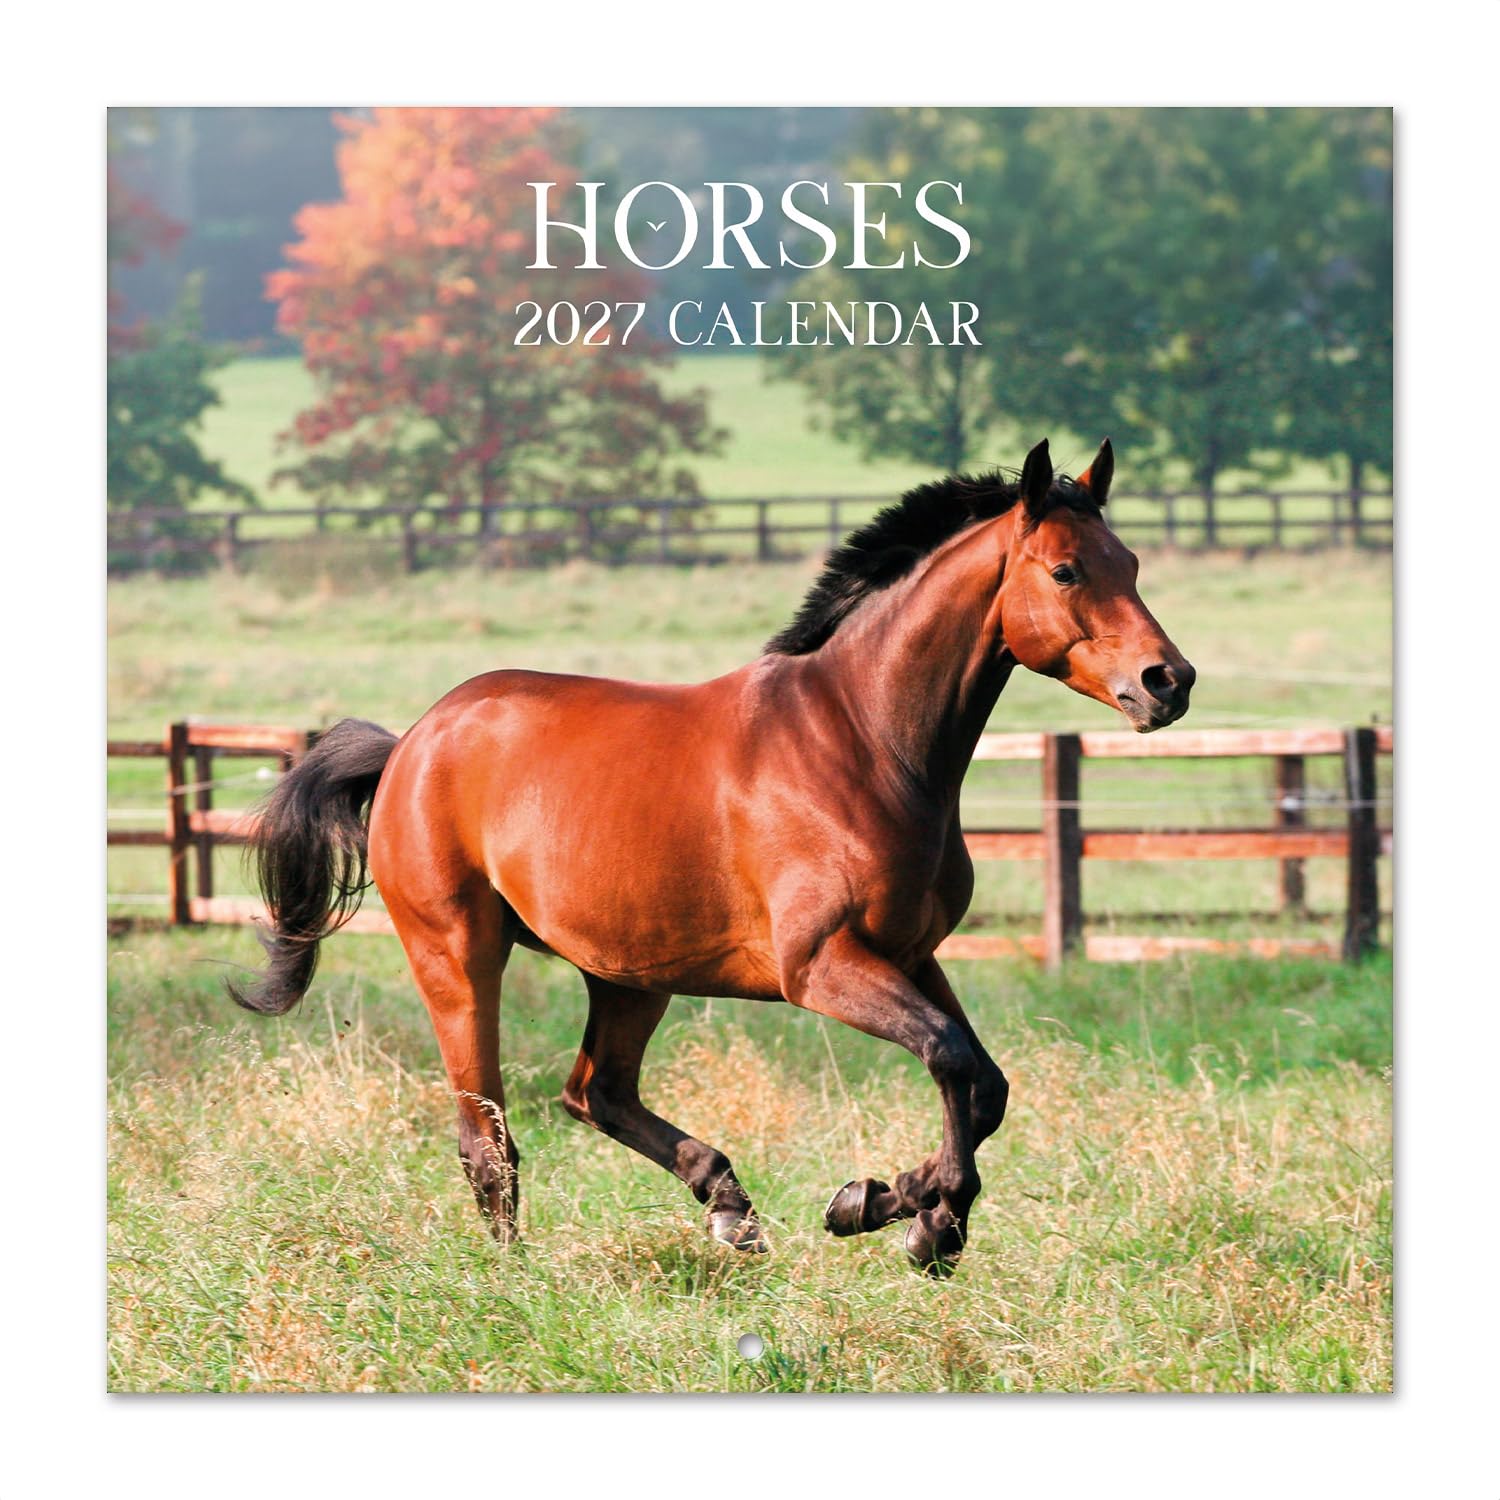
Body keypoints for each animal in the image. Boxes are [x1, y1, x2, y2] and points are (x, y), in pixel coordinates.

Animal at [230, 438, 1195, 1275]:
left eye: (1131, 565)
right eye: (1066, 570)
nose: (1168, 683)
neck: (864, 742)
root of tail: (412, 745)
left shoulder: (912, 955)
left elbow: (981, 1083)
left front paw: (900, 1209)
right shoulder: (822, 966)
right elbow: (953, 1062)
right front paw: (915, 1215)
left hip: (628, 973)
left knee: (596, 1092)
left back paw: (730, 1204)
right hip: (459, 956)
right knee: (489, 1137)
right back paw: (517, 1275)